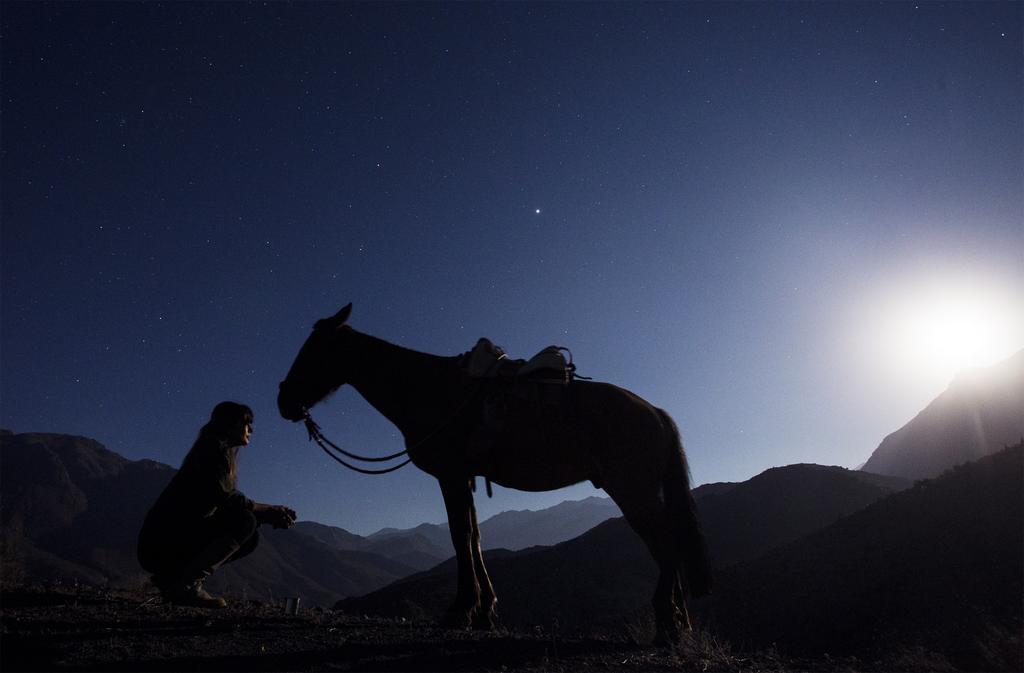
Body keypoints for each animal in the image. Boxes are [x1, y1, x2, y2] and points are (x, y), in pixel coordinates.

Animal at [280, 303, 712, 639]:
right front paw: (484, 611)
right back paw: (678, 621)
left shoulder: (451, 475)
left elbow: (459, 536)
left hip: (632, 491)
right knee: (666, 544)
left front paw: (461, 611)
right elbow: (474, 537)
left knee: (666, 543)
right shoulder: (464, 478)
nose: (283, 400)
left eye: (314, 350)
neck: (428, 389)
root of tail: (655, 412)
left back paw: (667, 622)